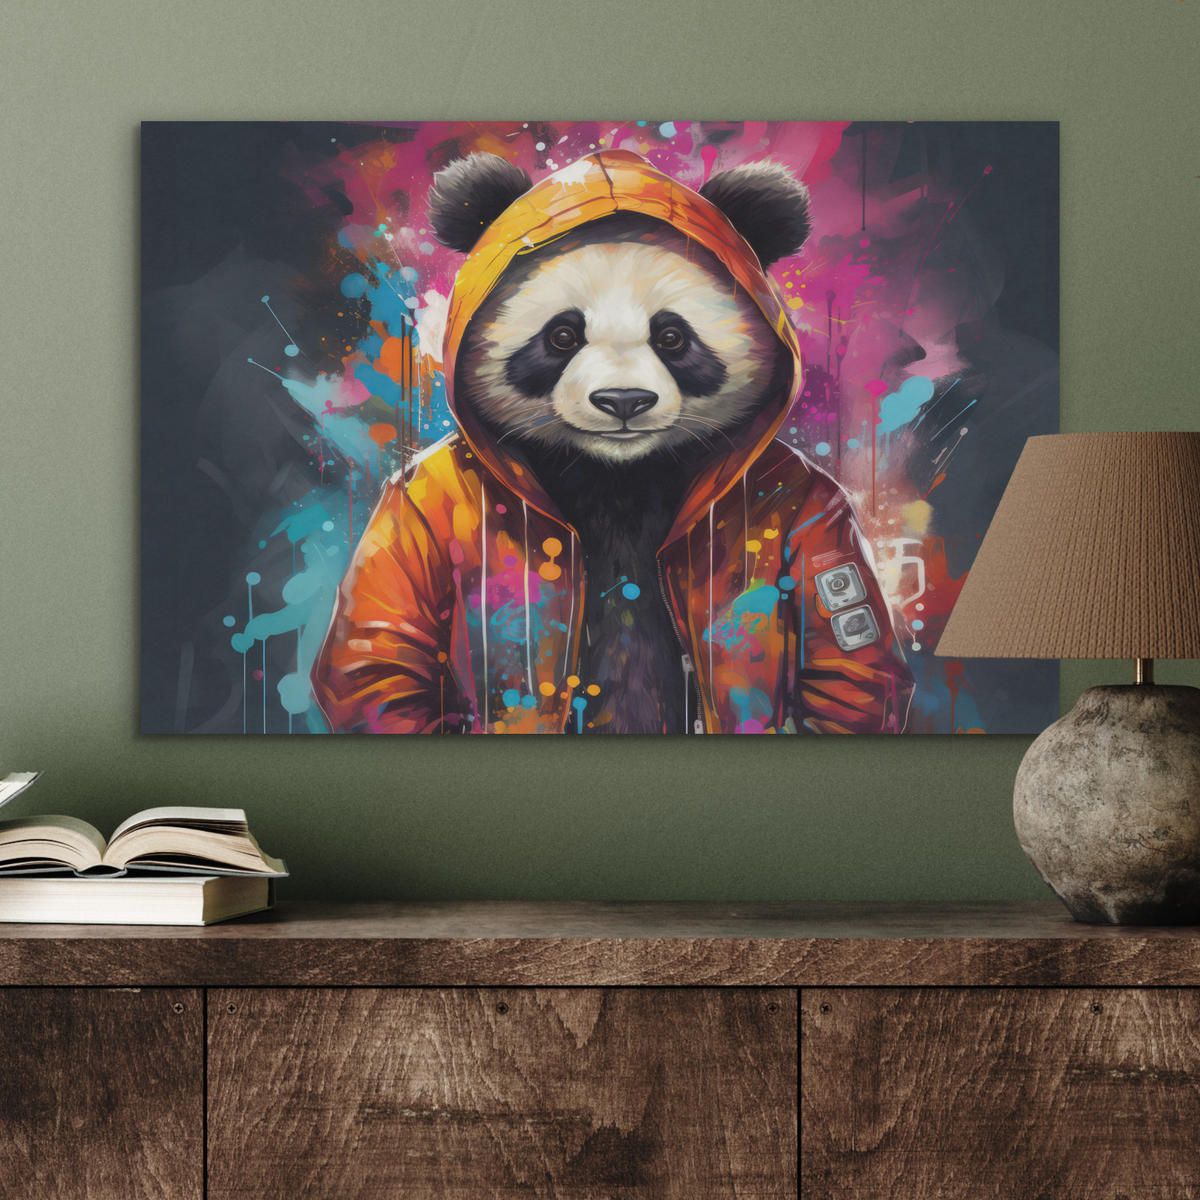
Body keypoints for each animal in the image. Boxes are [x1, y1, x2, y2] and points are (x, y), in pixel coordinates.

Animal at [313, 149, 913, 735]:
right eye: (562, 335)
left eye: (672, 337)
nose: (623, 401)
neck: (618, 472)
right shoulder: (419, 498)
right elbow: (385, 651)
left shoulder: (813, 500)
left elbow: (844, 664)